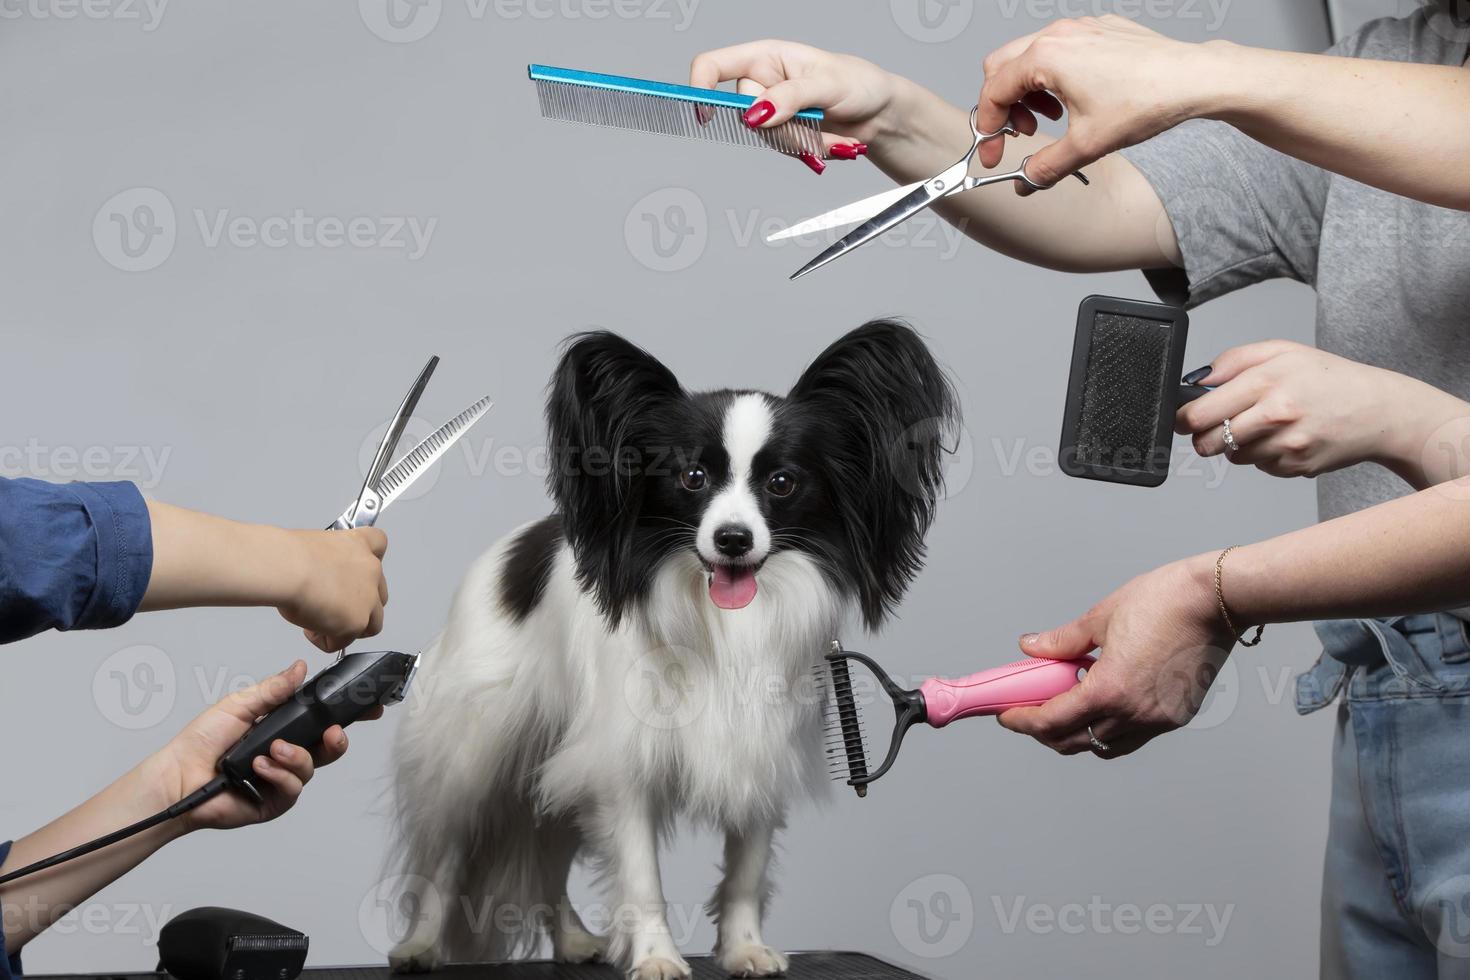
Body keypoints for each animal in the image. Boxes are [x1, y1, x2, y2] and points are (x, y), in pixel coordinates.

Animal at [391, 321, 958, 980]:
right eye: (692, 479)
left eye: (782, 483)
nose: (733, 539)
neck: (726, 623)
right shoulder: (622, 766)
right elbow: (641, 878)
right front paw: (657, 957)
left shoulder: (757, 751)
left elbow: (746, 870)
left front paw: (744, 949)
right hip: (474, 761)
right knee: (446, 860)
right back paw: (420, 947)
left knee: (547, 856)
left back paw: (574, 940)